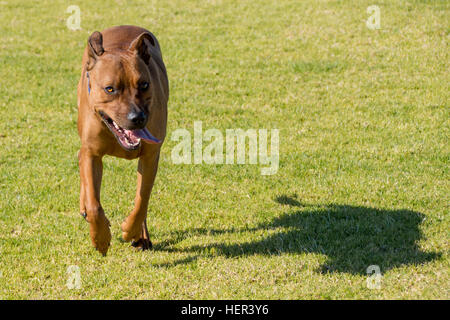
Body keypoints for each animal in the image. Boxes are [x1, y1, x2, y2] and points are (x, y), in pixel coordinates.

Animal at [77, 25, 169, 255]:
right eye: (110, 89)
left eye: (144, 84)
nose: (137, 118)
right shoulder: (92, 153)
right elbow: (94, 203)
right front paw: (100, 237)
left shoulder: (150, 156)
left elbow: (142, 199)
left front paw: (131, 230)